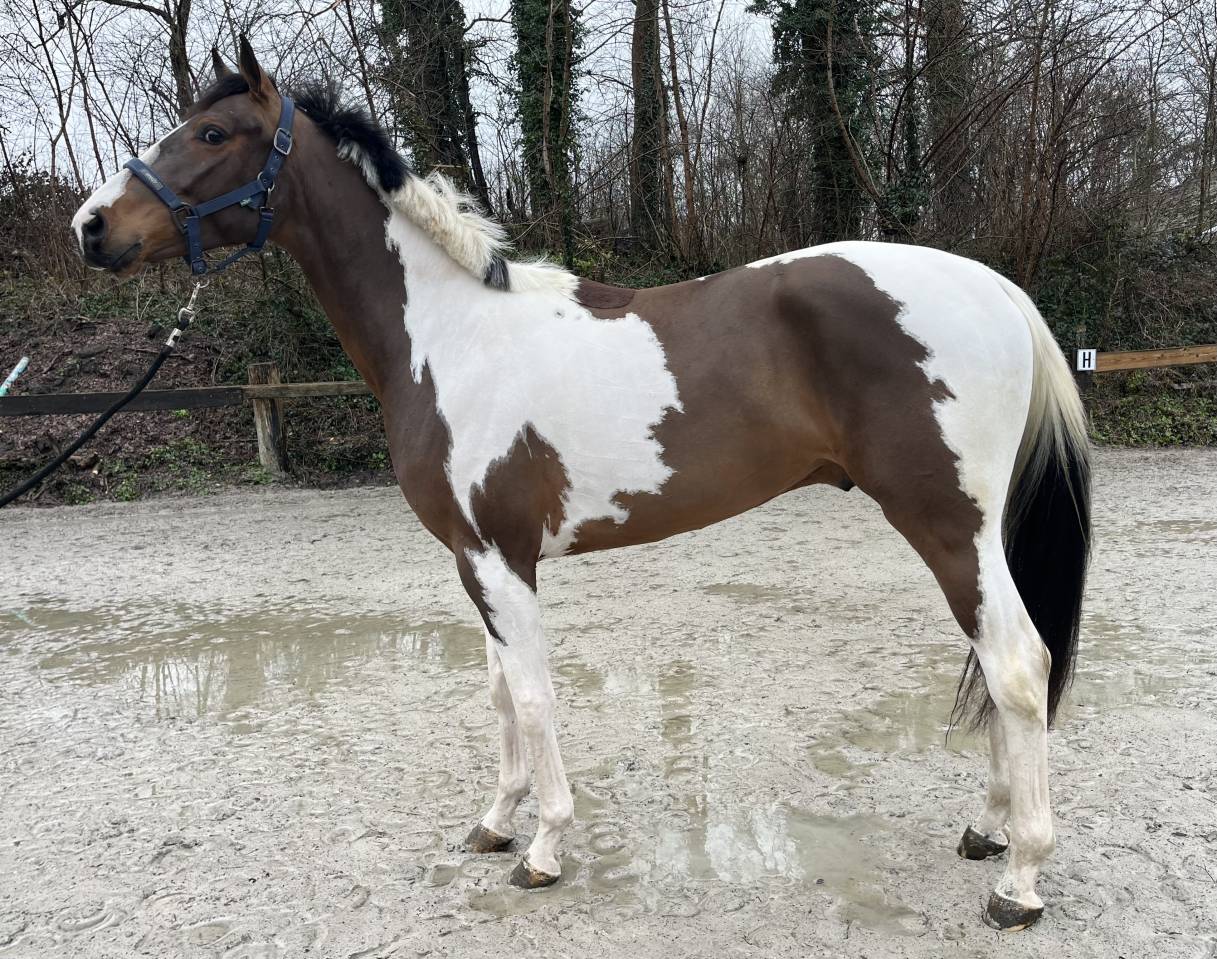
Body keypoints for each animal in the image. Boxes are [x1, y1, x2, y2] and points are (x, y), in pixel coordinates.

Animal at [70, 38, 1091, 931]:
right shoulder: (476, 560)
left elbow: (530, 696)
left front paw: (544, 847)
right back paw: (988, 829)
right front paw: (495, 821)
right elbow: (498, 693)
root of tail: (996, 290)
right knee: (1002, 672)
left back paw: (1019, 880)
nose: (90, 227)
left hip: (948, 524)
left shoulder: (498, 554)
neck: (451, 336)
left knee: (1016, 665)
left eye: (211, 133)